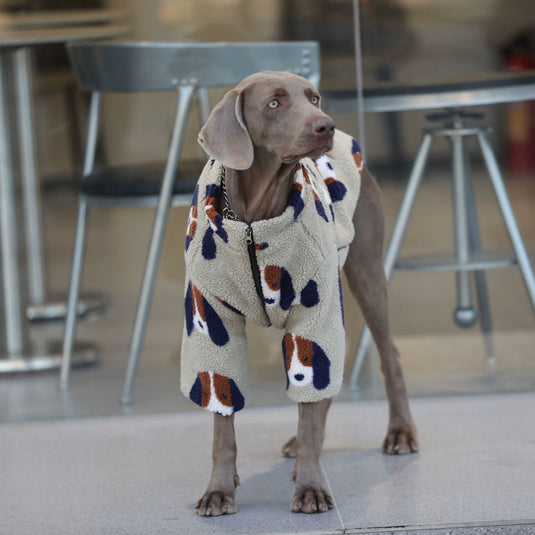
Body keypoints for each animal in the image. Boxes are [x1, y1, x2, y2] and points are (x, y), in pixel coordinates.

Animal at [180, 70, 418, 516]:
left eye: (314, 97)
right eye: (274, 103)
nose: (325, 125)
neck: (255, 216)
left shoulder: (314, 311)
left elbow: (309, 405)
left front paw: (310, 487)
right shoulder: (212, 321)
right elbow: (223, 424)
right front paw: (219, 490)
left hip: (365, 273)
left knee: (386, 358)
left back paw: (400, 433)